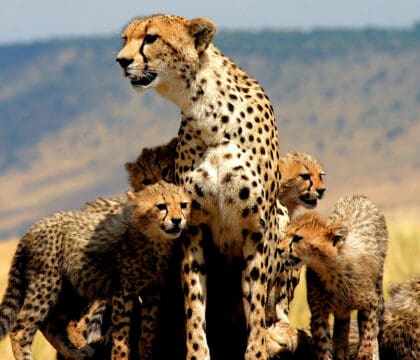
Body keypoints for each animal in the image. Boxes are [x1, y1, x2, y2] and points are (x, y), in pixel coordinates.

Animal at [116, 13, 290, 358]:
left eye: (151, 38)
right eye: (125, 39)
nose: (121, 61)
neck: (207, 113)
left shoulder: (258, 226)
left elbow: (255, 299)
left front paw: (257, 349)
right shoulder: (191, 226)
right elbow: (194, 302)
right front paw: (197, 352)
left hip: (281, 216)